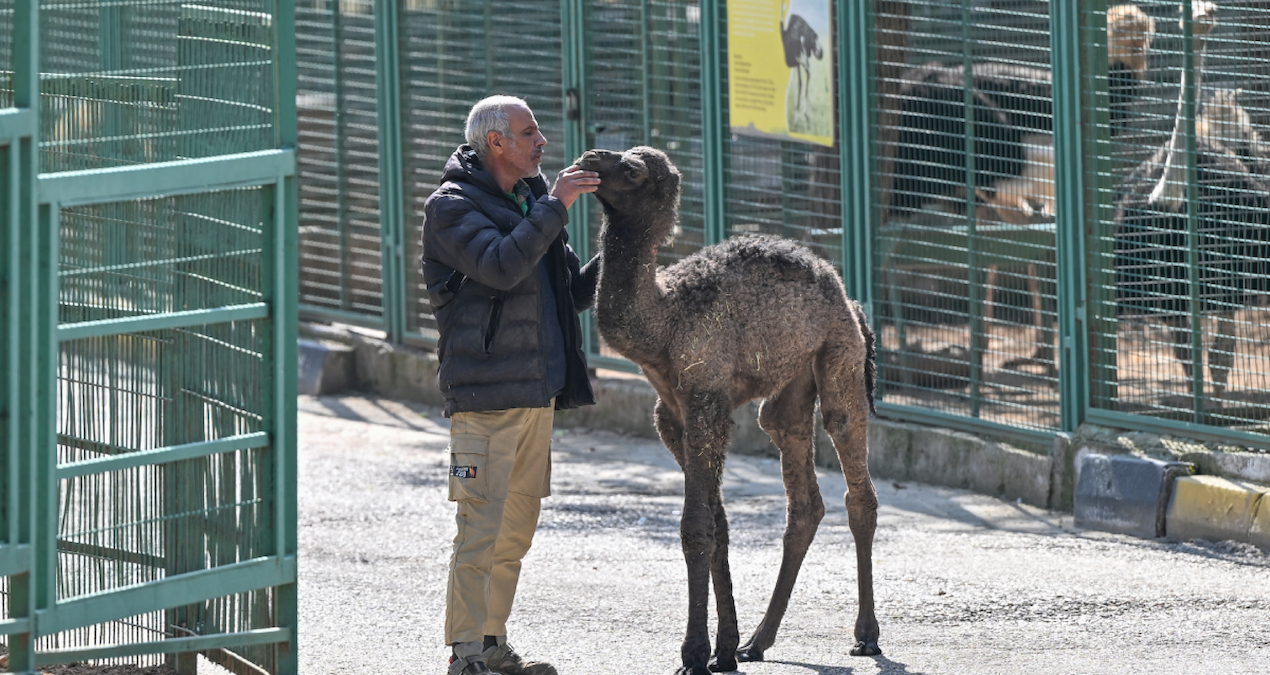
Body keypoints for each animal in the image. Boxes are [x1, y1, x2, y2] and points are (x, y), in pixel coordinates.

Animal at [579, 148, 883, 675]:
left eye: (632, 170)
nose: (590, 157)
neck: (665, 319)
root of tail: (850, 300)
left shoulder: (706, 399)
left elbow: (696, 527)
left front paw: (694, 654)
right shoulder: (672, 414)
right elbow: (717, 523)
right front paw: (725, 648)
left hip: (840, 357)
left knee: (853, 476)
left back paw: (865, 636)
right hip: (791, 388)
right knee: (802, 494)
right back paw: (758, 642)